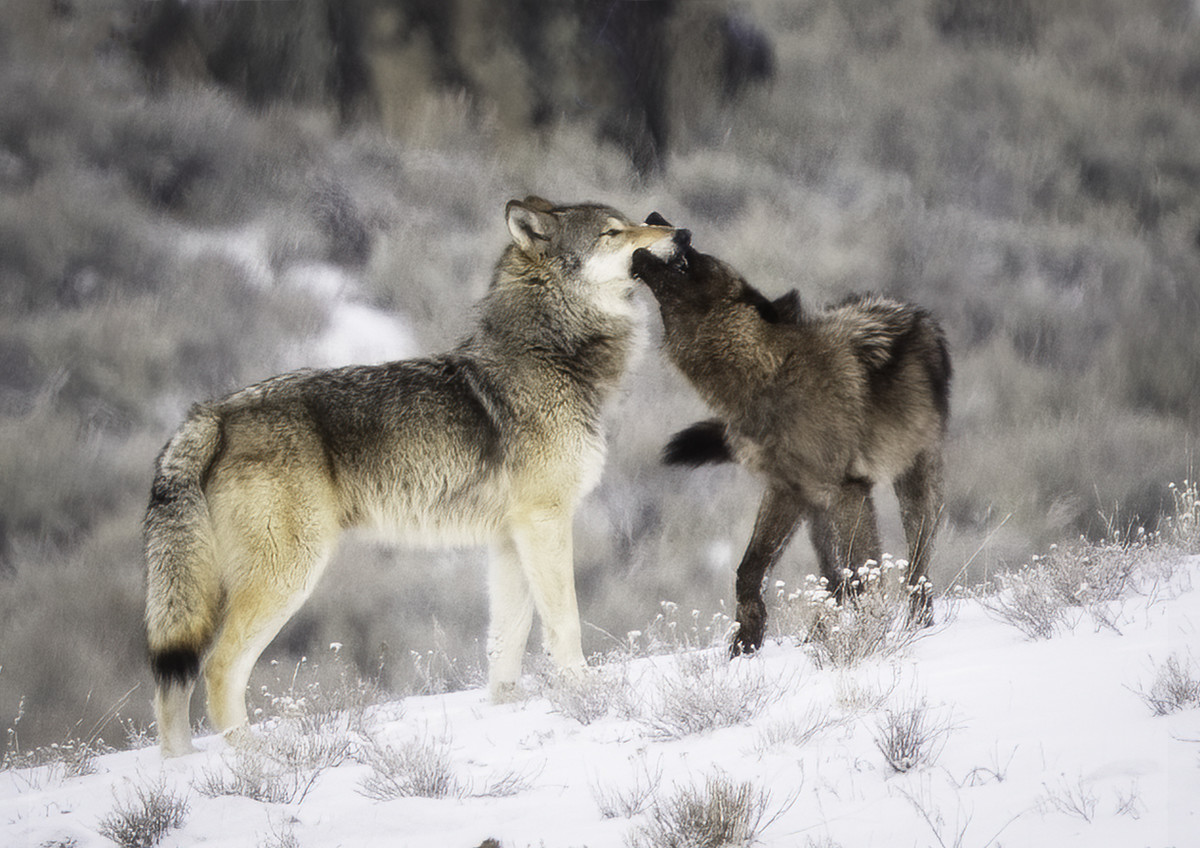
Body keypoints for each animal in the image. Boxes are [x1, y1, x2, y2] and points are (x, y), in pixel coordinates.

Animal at [144, 195, 681, 753]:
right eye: (613, 233)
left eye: (629, 223)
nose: (680, 234)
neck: (550, 355)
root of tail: (214, 413)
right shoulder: (545, 522)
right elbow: (565, 621)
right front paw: (584, 690)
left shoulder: (511, 539)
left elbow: (506, 641)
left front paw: (507, 711)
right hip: (287, 575)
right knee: (218, 668)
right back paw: (254, 756)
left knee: (172, 686)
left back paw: (180, 766)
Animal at [633, 219, 950, 657]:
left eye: (699, 257)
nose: (669, 223)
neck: (768, 377)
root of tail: (918, 313)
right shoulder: (786, 488)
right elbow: (750, 571)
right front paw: (746, 642)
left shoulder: (849, 488)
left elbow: (866, 575)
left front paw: (867, 637)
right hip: (818, 511)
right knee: (834, 577)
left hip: (911, 482)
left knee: (916, 564)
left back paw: (917, 624)